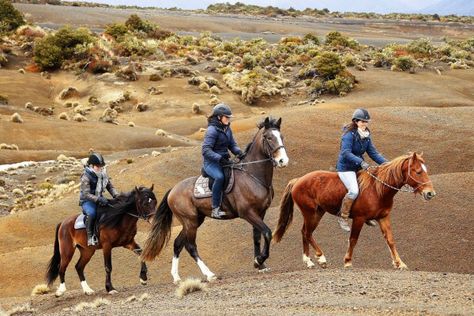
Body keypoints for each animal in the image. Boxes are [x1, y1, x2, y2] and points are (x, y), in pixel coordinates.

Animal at [141, 117, 288, 282]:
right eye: (268, 137)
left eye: (281, 137)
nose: (283, 161)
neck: (252, 175)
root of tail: (173, 190)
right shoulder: (248, 213)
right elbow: (267, 233)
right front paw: (260, 259)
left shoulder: (260, 212)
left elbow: (257, 236)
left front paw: (259, 264)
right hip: (190, 222)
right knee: (190, 246)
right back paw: (209, 274)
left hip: (194, 221)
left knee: (177, 244)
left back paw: (176, 277)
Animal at [274, 152, 436, 270]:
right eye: (418, 172)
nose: (430, 193)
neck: (378, 189)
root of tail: (298, 180)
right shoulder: (359, 218)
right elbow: (353, 239)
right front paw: (347, 261)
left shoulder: (384, 217)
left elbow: (390, 240)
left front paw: (399, 263)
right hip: (310, 213)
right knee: (307, 233)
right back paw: (321, 257)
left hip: (318, 213)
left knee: (305, 232)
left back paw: (308, 261)